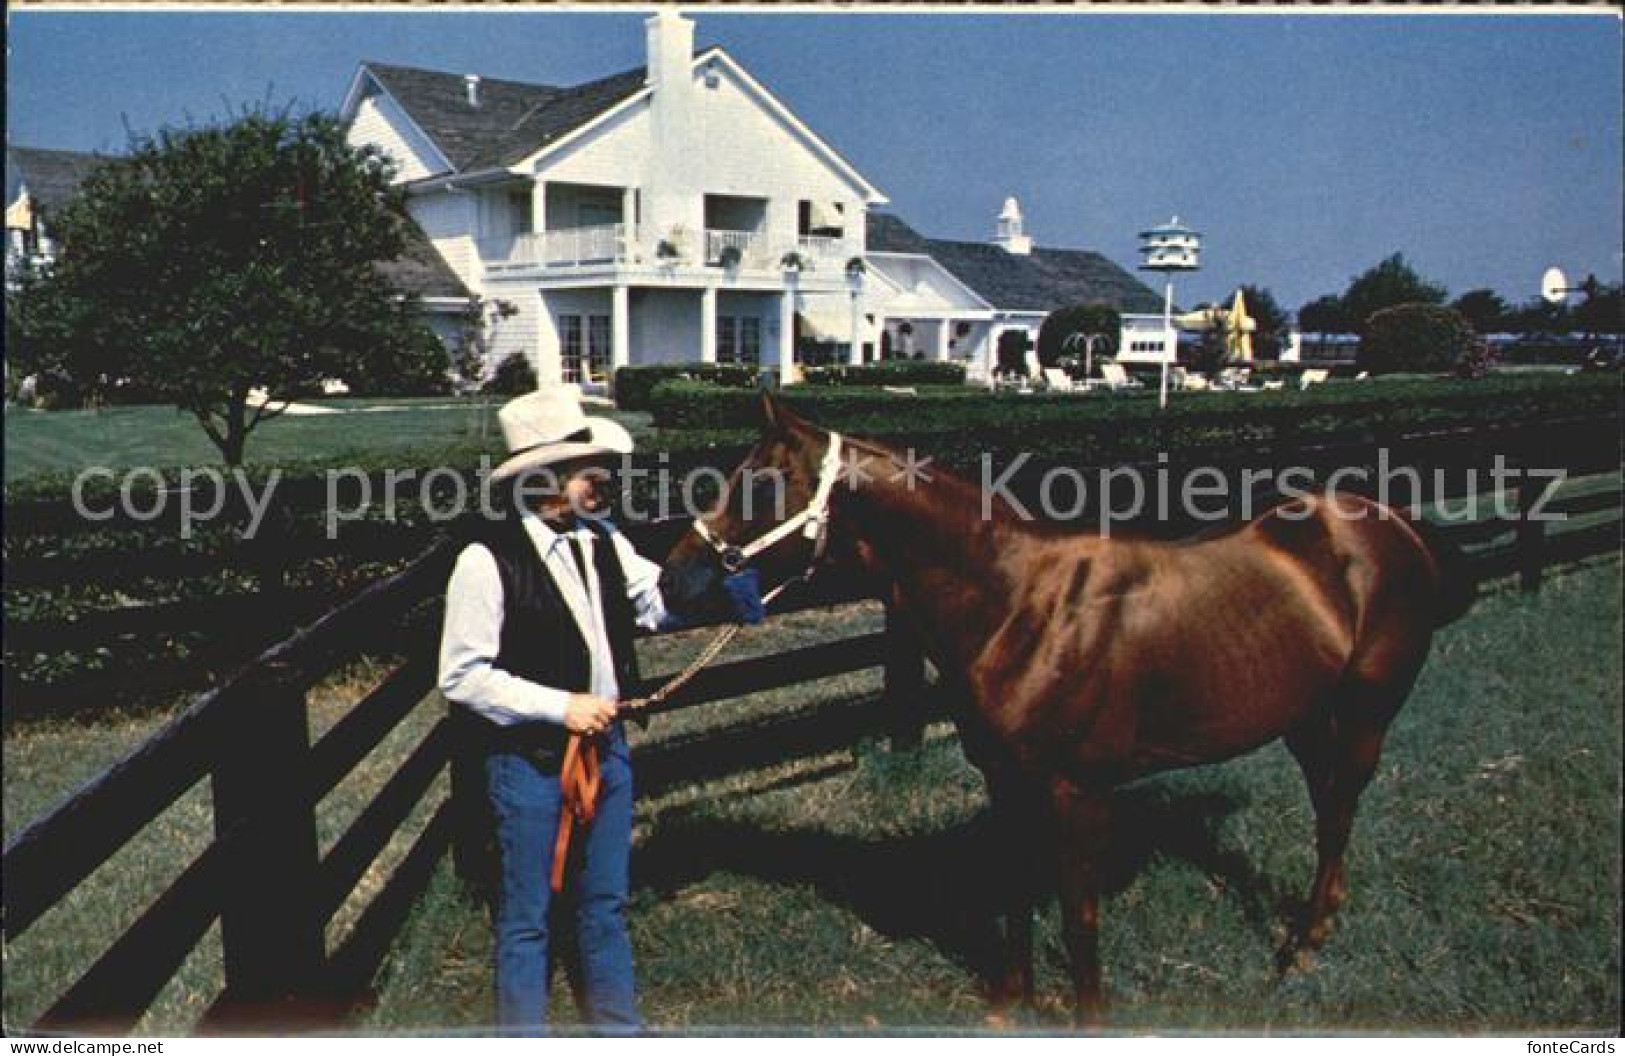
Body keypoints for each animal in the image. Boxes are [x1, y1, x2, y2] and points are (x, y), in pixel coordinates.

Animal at [653, 394, 1469, 1020]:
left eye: (761, 485)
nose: (671, 581)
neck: (1021, 604)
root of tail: (1388, 522)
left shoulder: (1079, 793)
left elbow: (1078, 918)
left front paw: (1087, 1015)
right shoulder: (1007, 781)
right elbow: (1016, 888)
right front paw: (1009, 1002)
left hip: (1364, 716)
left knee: (1337, 816)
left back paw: (1302, 949)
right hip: (1305, 718)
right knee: (1328, 808)